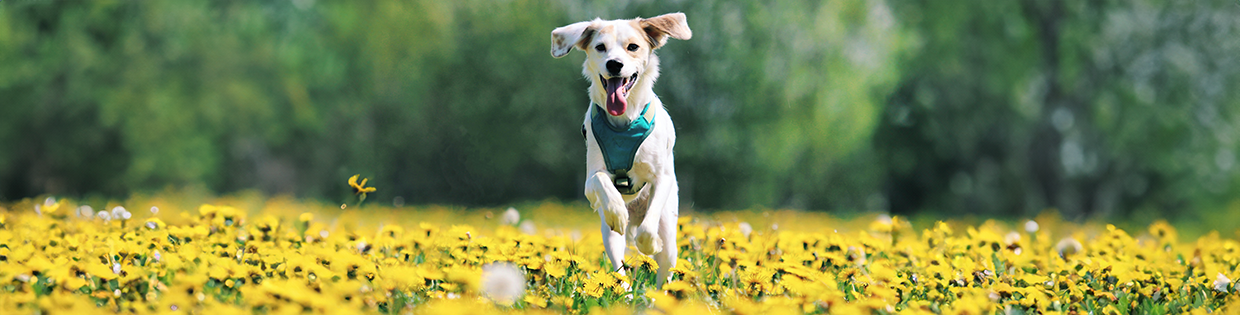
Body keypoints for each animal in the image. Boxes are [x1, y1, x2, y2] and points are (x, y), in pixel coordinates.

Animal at [550, 12, 694, 287]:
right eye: (600, 47)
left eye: (633, 47)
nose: (614, 64)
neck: (624, 122)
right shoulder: (590, 181)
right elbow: (600, 181)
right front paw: (617, 210)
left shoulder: (662, 178)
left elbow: (647, 232)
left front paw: (650, 244)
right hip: (609, 236)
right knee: (619, 265)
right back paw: (624, 288)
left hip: (669, 232)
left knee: (664, 269)